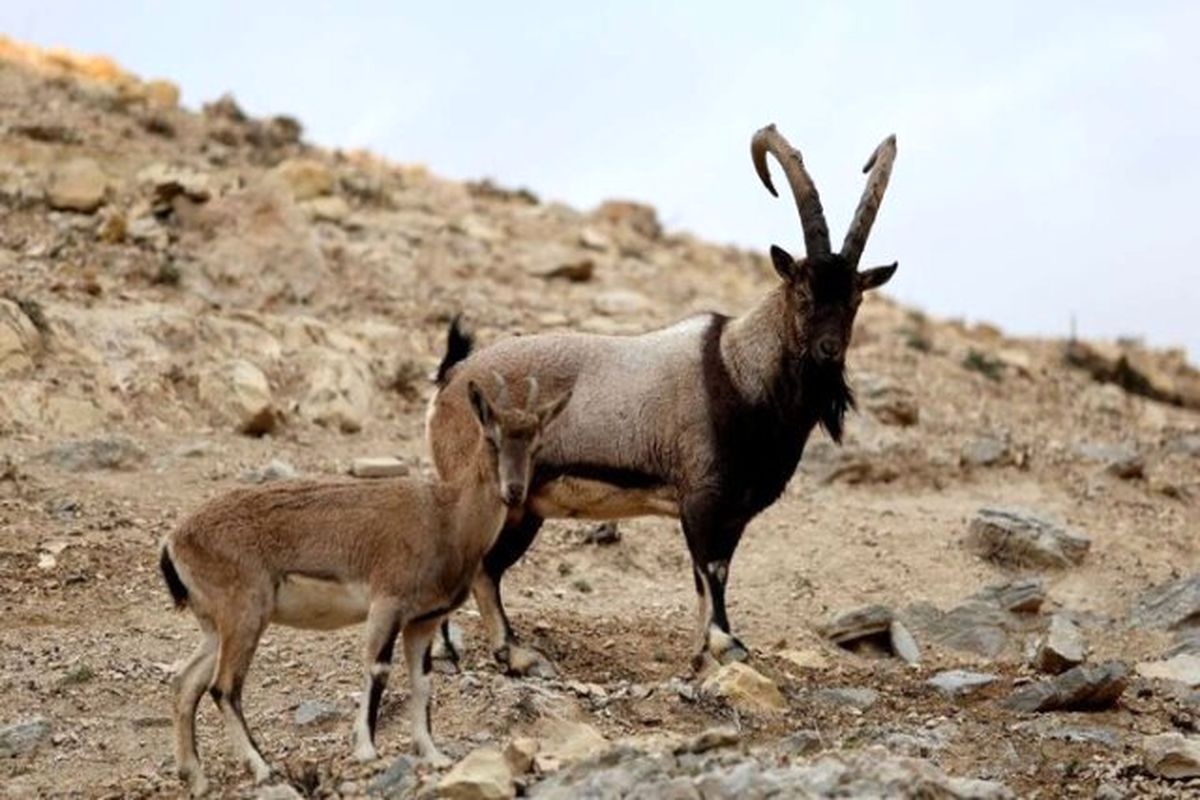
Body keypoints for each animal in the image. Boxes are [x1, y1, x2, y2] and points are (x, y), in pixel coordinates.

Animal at [160, 374, 571, 796]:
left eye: (536, 443)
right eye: (491, 437)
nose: (514, 491)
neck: (447, 519)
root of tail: (175, 541)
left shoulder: (422, 621)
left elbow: (422, 682)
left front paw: (433, 754)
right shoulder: (387, 603)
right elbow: (378, 669)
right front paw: (367, 750)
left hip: (216, 626)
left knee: (185, 683)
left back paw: (196, 777)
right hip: (245, 613)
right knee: (224, 686)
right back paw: (261, 768)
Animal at [427, 123, 897, 676]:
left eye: (855, 299)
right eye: (803, 293)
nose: (828, 351)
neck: (739, 370)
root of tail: (452, 379)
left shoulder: (732, 514)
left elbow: (710, 578)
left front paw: (701, 660)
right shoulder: (701, 499)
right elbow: (710, 576)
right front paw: (724, 647)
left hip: (526, 509)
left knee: (486, 570)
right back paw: (488, 653)